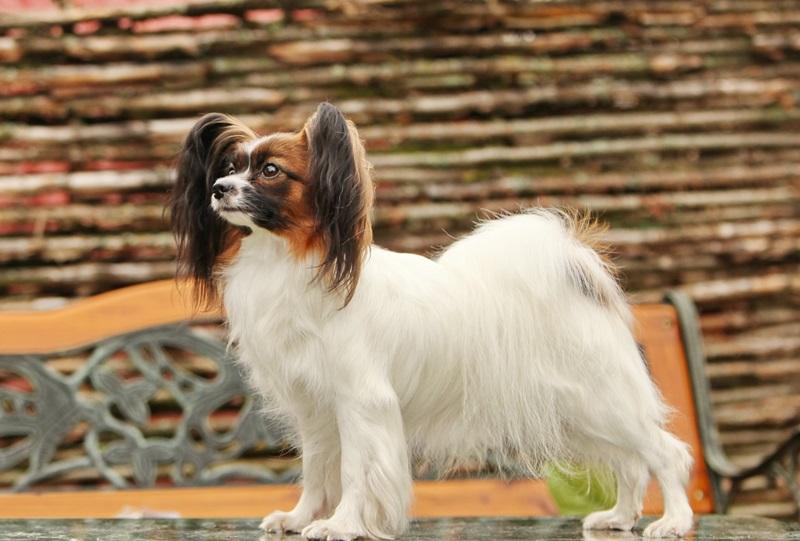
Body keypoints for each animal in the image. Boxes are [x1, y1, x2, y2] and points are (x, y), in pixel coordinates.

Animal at [169, 102, 692, 540]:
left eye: (270, 171)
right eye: (230, 168)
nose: (217, 189)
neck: (287, 262)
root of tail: (578, 272)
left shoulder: (361, 401)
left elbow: (356, 472)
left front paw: (341, 525)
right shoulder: (315, 407)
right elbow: (318, 471)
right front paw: (299, 518)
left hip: (602, 400)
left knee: (662, 452)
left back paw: (674, 522)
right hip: (579, 413)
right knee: (629, 462)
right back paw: (620, 517)